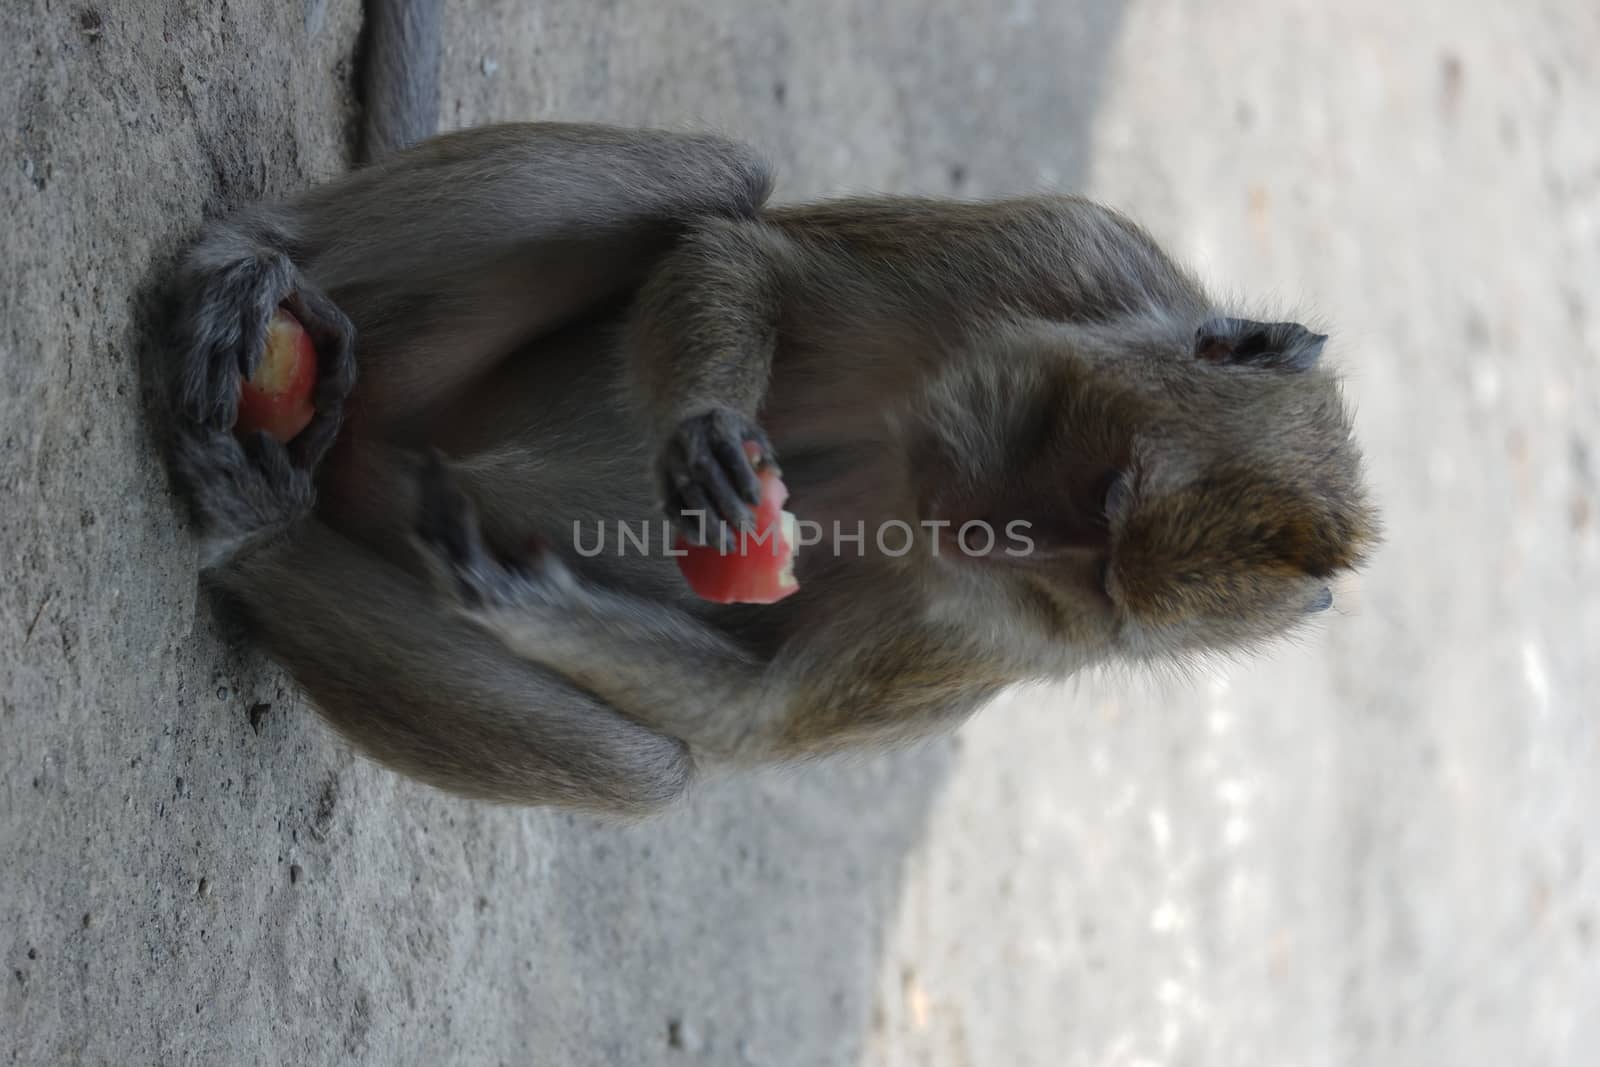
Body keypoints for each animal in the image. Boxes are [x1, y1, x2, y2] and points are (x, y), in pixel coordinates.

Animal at [162, 12, 1376, 819]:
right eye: (1106, 489)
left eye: (1101, 582)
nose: (989, 535)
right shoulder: (1060, 254)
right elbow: (744, 256)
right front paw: (707, 429)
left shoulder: (989, 641)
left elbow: (749, 711)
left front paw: (520, 601)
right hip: (410, 347)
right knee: (716, 171)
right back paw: (251, 260)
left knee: (646, 771)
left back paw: (261, 535)